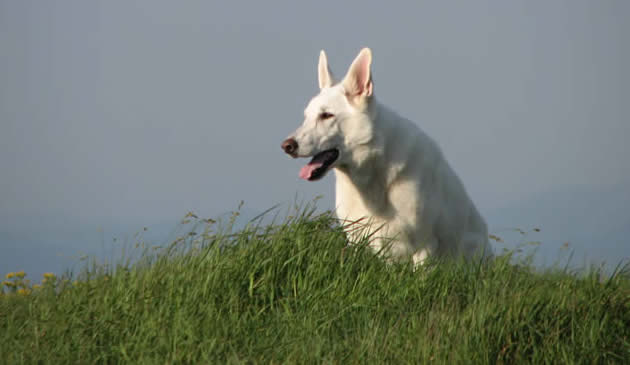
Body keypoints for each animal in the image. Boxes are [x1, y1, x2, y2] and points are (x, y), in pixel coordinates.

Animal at [282, 49, 494, 264]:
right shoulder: (360, 242)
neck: (372, 178)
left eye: (326, 115)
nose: (286, 146)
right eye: (306, 116)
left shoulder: (424, 247)